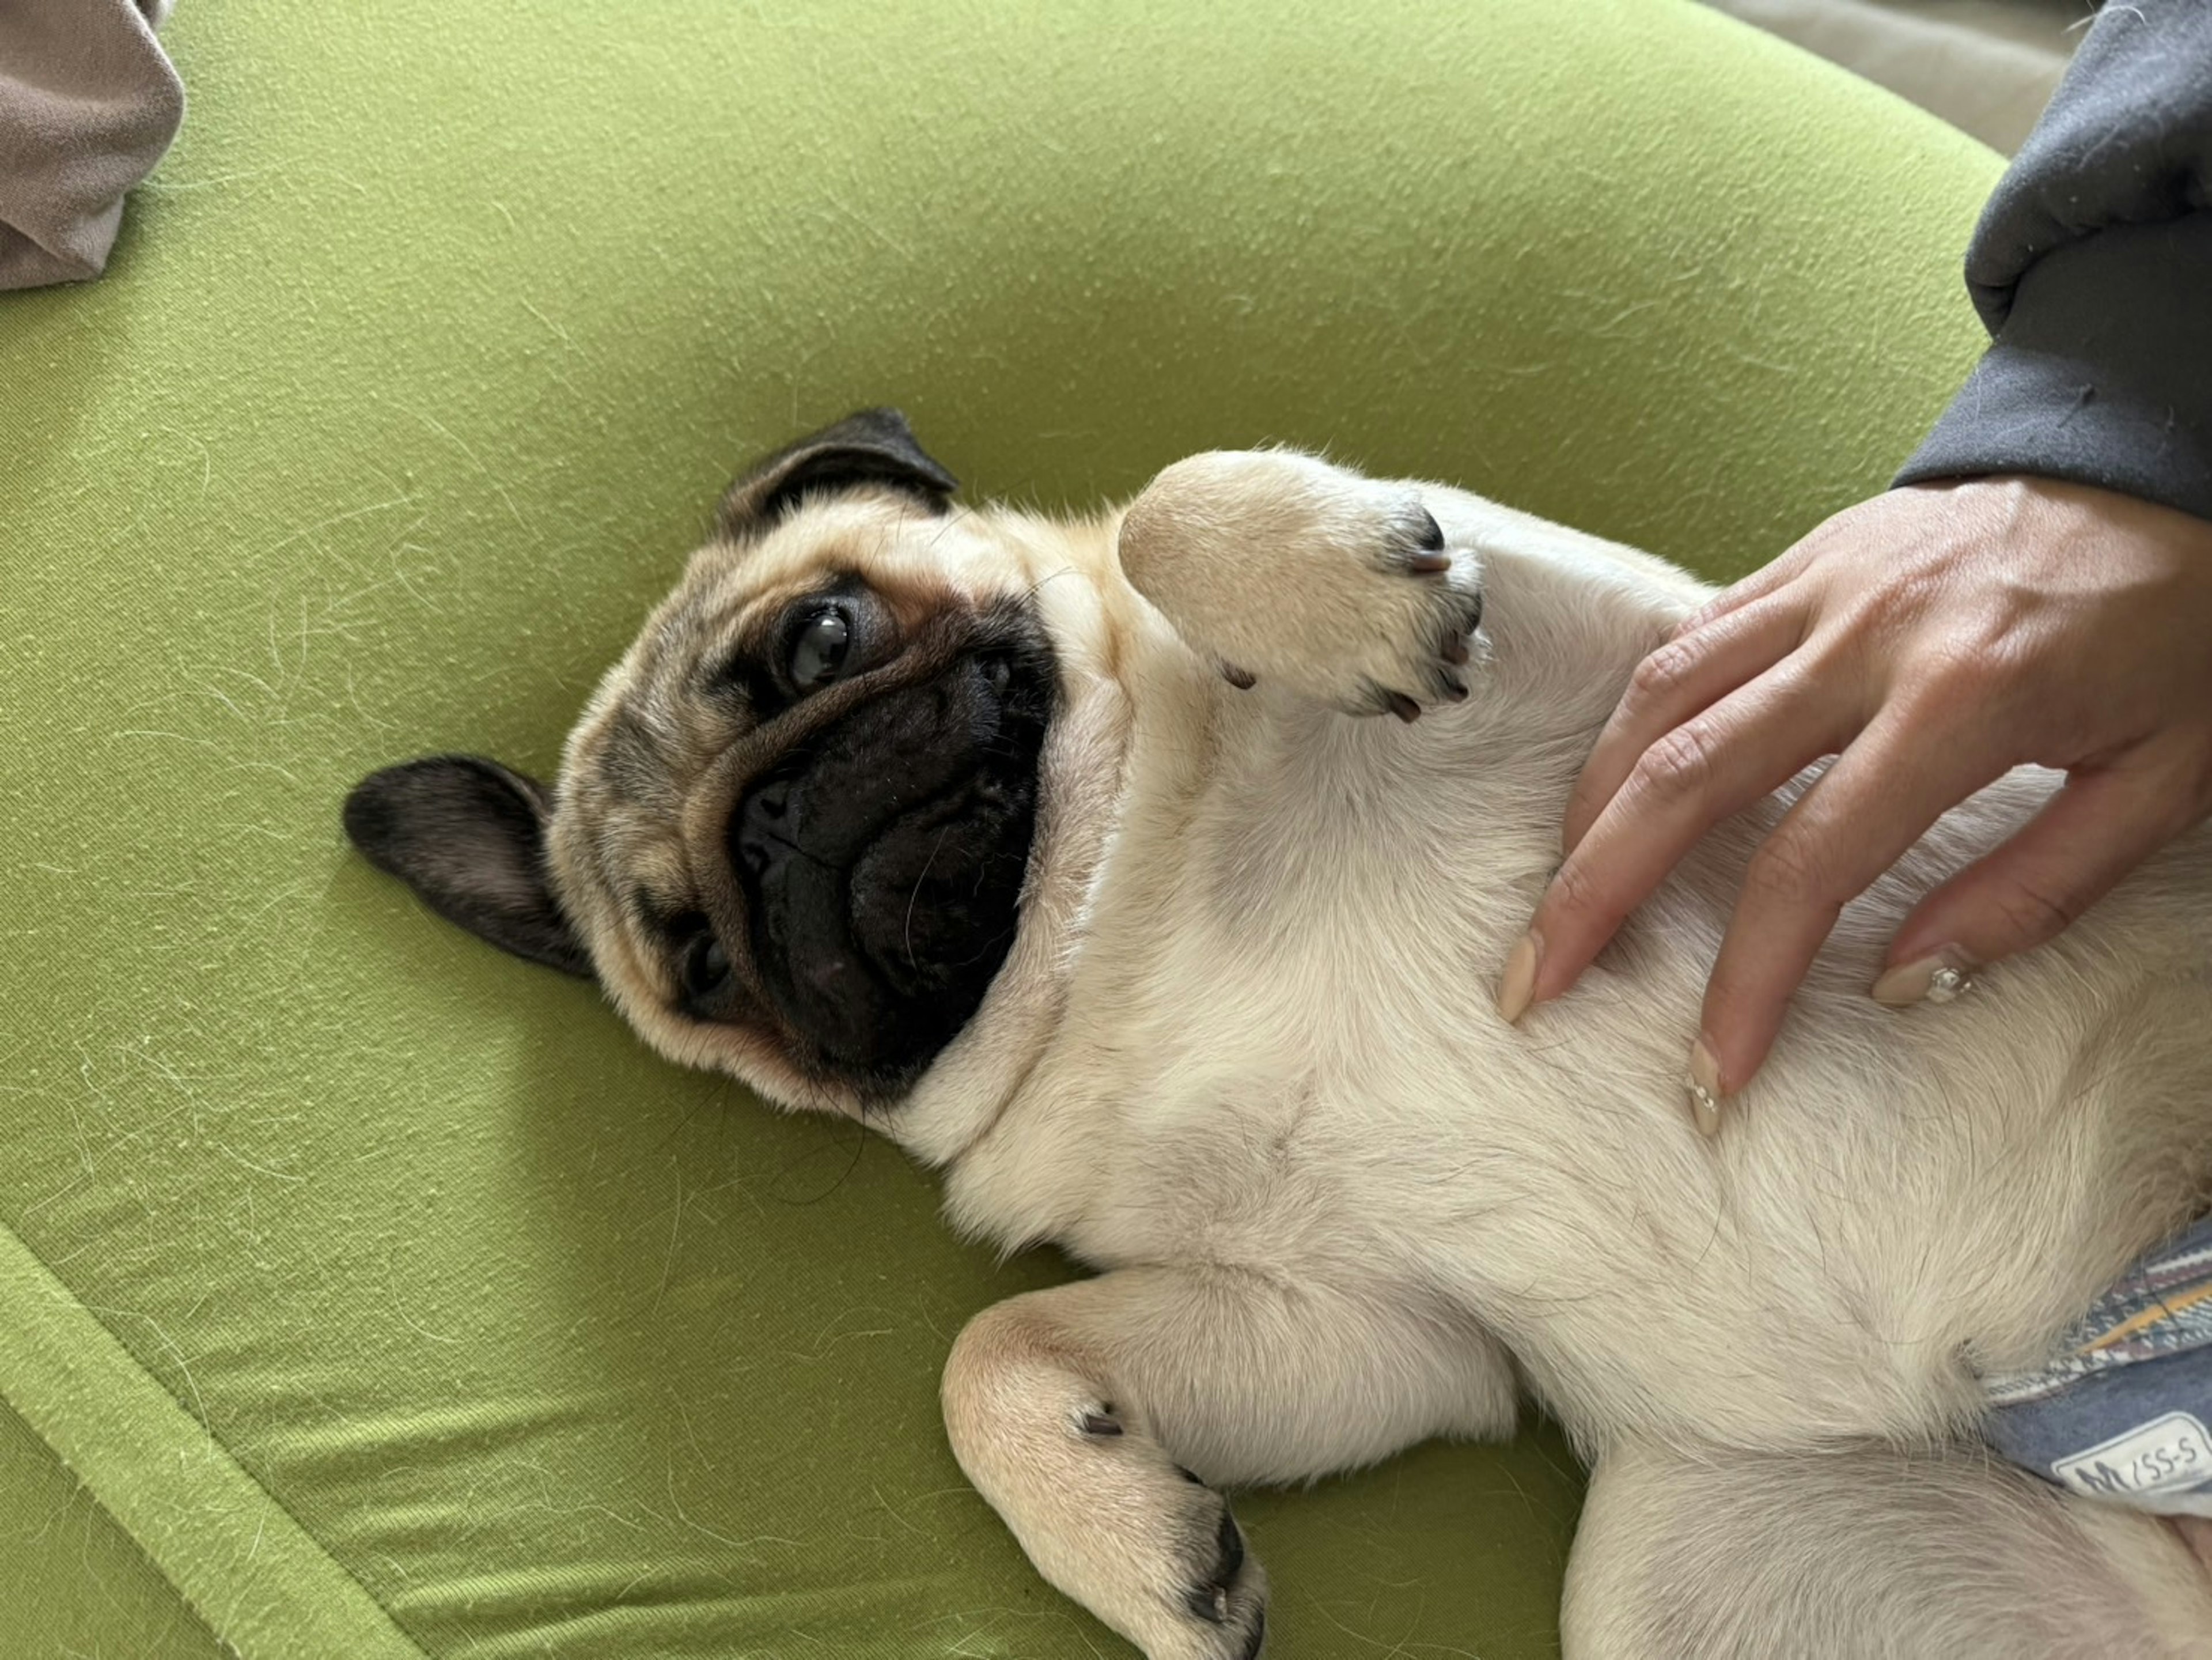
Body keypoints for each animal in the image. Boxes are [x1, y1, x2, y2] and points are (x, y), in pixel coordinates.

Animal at [345, 409, 2212, 1655]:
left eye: (821, 633)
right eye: (693, 963)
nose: (781, 823)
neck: (1105, 901)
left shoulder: (1638, 653)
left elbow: (1167, 512)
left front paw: (1326, 593)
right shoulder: (1360, 1319)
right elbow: (986, 1360)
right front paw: (1143, 1555)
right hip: (1713, 1548)